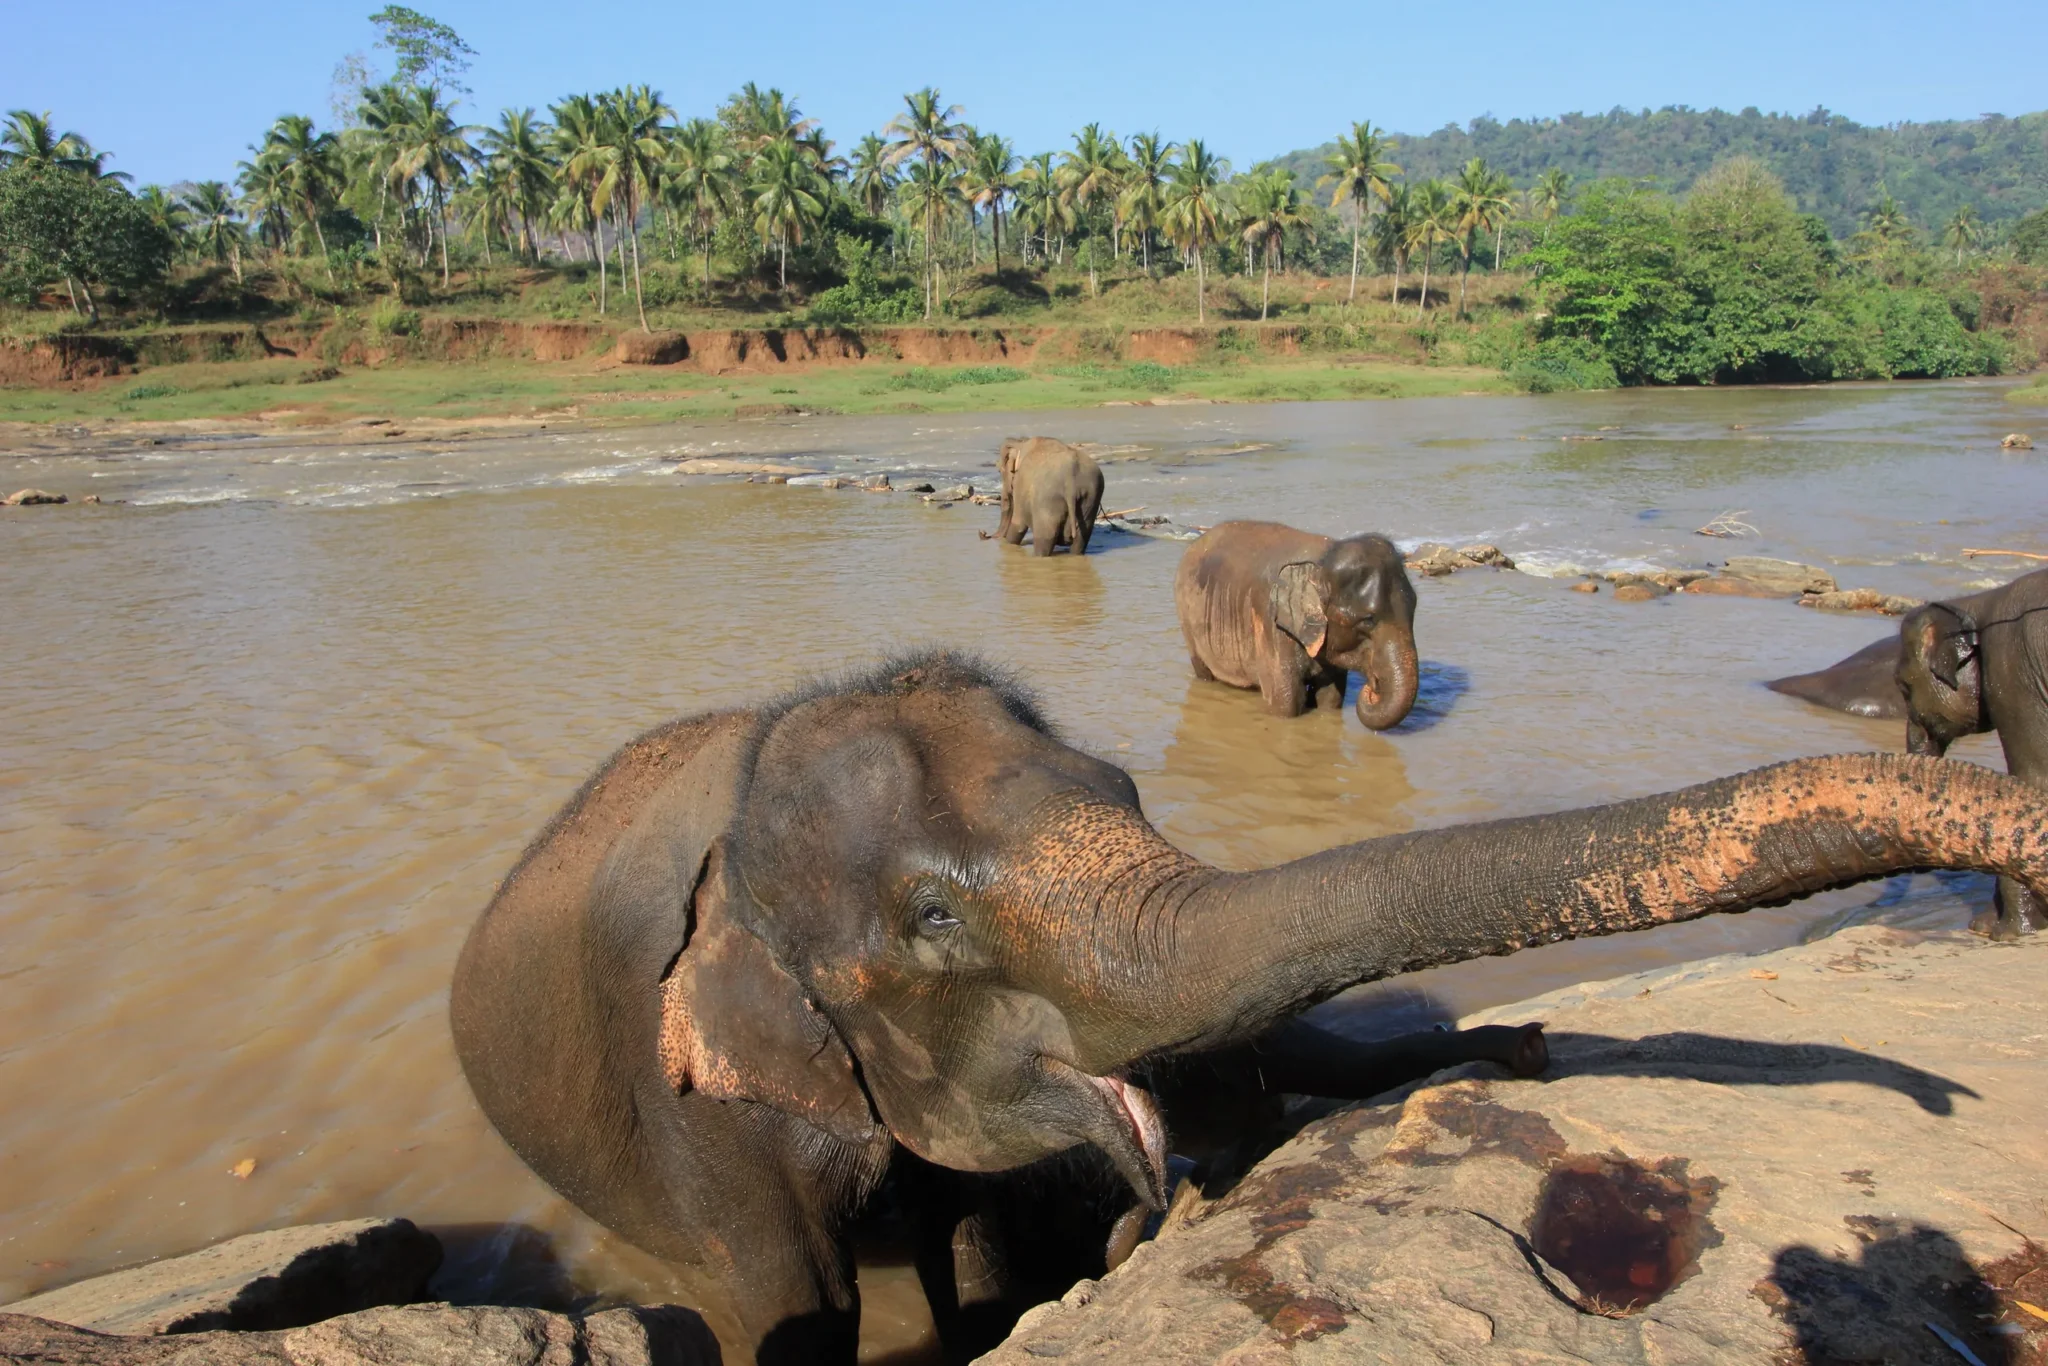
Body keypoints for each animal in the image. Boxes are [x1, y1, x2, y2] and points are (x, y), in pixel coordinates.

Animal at [1176, 520, 1420, 730]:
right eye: (1368, 620)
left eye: (1414, 609)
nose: (1373, 686)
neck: (1324, 558)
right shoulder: (1273, 629)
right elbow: (1287, 702)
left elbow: (1331, 698)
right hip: (1187, 621)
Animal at [1896, 567, 2048, 939]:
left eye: (1903, 687)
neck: (1977, 603)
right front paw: (1983, 927)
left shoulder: (2013, 671)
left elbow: (2031, 781)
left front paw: (2011, 933)